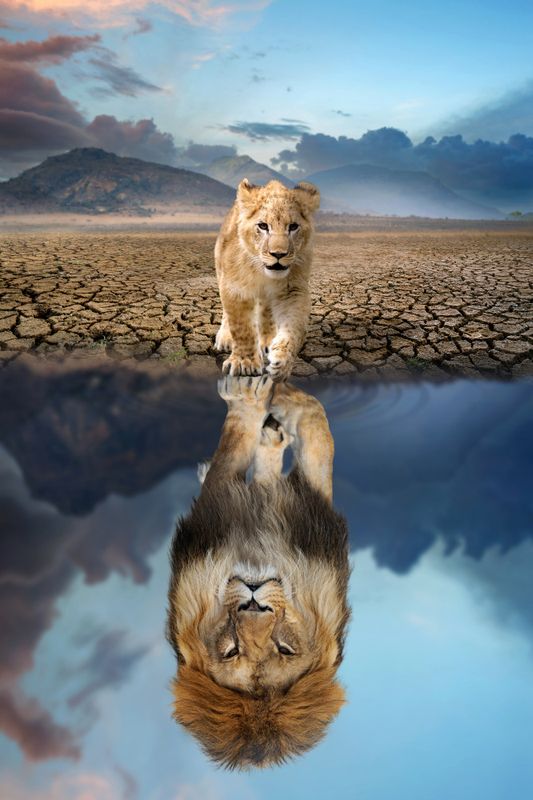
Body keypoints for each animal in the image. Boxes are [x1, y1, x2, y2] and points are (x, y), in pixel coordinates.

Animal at [167, 375, 350, 769]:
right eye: (231, 651)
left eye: (284, 648)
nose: (253, 602)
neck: (258, 550)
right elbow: (313, 432)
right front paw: (264, 399)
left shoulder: (311, 516)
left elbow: (315, 435)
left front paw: (263, 399)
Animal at [214, 178, 320, 381]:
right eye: (263, 226)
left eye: (293, 226)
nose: (278, 254)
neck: (262, 272)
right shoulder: (234, 288)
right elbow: (241, 327)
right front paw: (244, 363)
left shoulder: (293, 290)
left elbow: (294, 328)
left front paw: (282, 362)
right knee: (226, 313)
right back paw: (224, 338)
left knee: (266, 311)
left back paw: (267, 341)